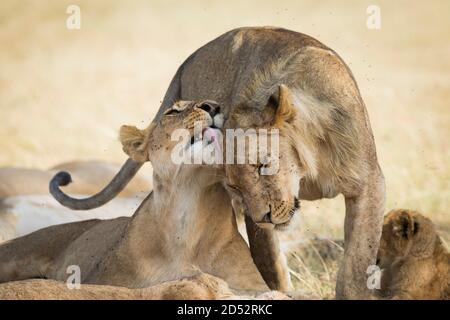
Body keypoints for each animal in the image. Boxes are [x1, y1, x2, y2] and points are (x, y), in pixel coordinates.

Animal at [47, 26, 384, 298]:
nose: (266, 216)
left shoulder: (368, 184)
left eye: (263, 166)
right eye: (234, 187)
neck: (306, 170)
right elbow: (270, 265)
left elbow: (357, 264)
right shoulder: (253, 216)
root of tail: (189, 59)